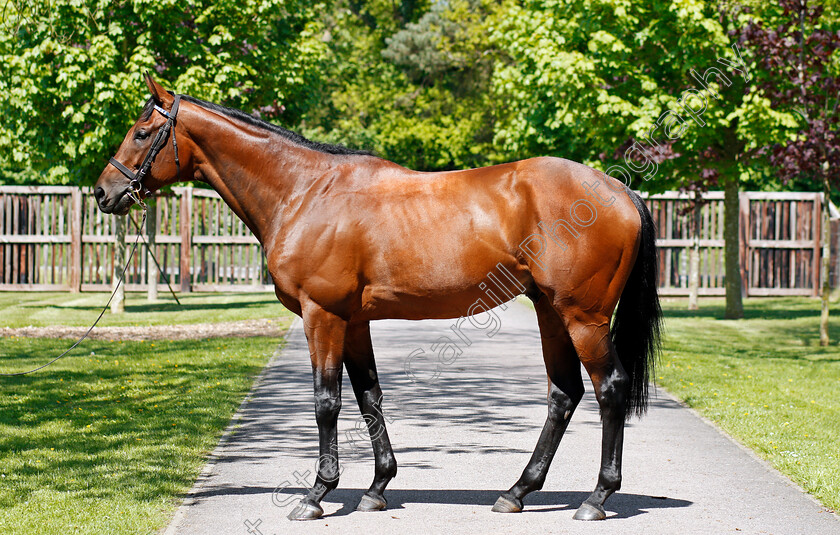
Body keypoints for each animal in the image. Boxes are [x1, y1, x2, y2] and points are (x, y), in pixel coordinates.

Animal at [95, 75, 660, 524]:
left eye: (141, 132)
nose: (104, 192)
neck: (305, 191)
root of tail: (620, 191)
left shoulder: (322, 316)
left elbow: (326, 402)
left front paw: (316, 495)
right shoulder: (353, 321)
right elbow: (369, 396)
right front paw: (376, 488)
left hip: (582, 317)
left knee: (608, 389)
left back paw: (596, 498)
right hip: (549, 312)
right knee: (564, 394)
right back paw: (517, 492)